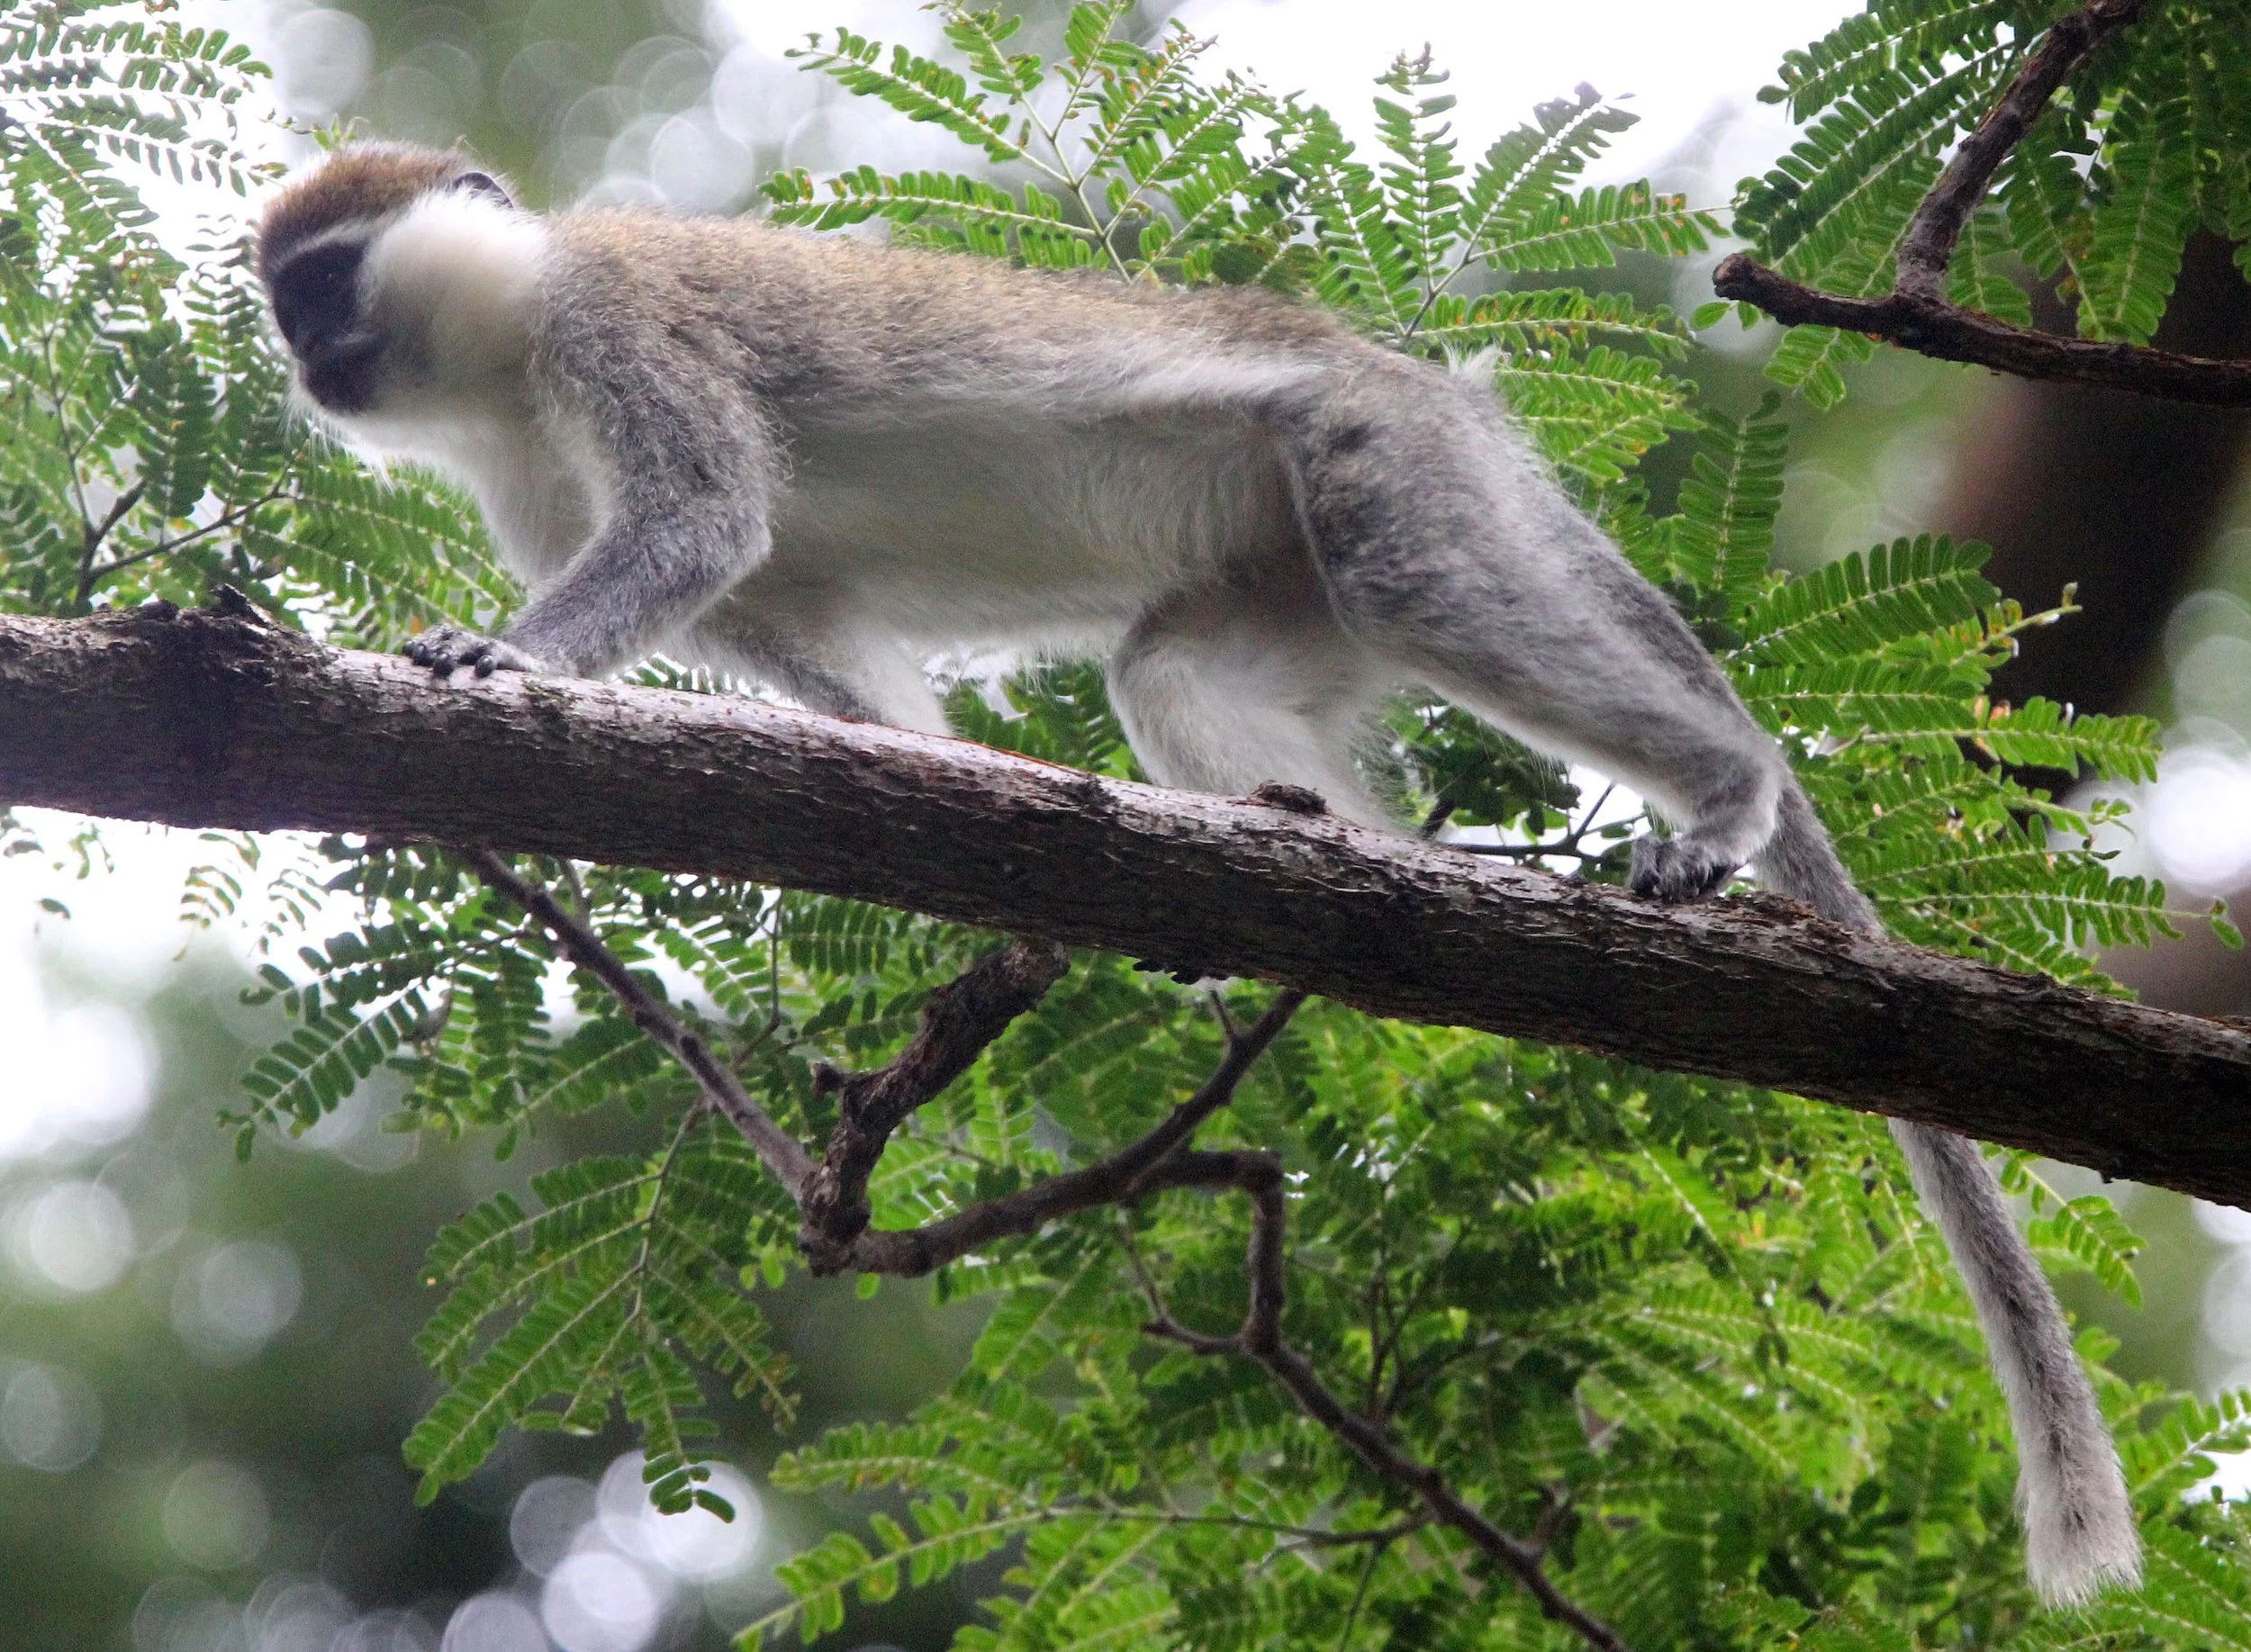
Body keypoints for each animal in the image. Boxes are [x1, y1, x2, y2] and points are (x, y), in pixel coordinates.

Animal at [255, 142, 2139, 1604]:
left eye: (325, 280)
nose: (310, 359)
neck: (507, 363)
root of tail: (1416, 379)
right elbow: (845, 672)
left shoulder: (619, 318)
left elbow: (704, 524)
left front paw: (498, 667)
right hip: (1271, 582)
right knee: (1177, 670)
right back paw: (1319, 882)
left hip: (1373, 455)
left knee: (1413, 583)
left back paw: (1728, 791)